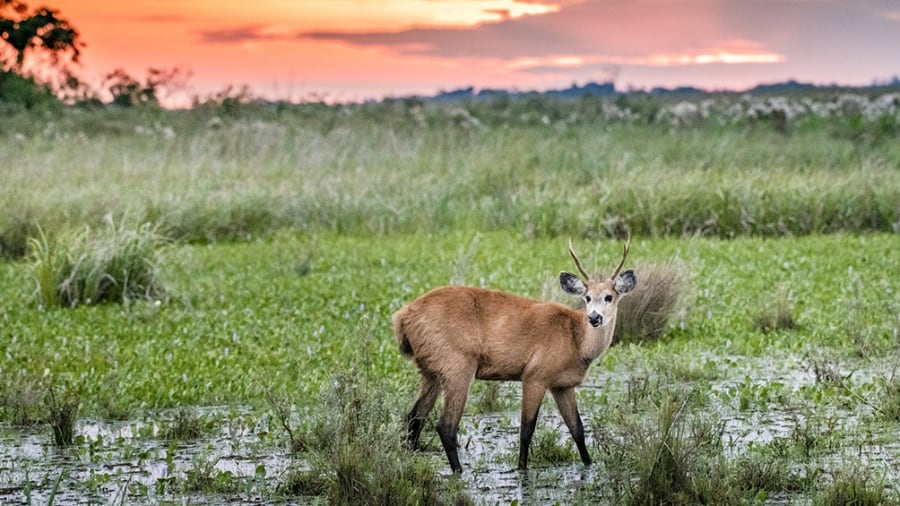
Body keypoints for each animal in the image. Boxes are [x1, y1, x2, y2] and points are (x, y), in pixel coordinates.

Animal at [390, 236, 636, 470]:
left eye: (609, 297)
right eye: (587, 297)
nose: (594, 317)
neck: (577, 341)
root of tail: (402, 317)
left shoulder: (562, 384)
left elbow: (577, 429)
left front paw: (589, 465)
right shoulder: (535, 374)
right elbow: (527, 429)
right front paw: (521, 469)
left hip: (430, 370)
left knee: (414, 417)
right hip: (457, 365)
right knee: (445, 425)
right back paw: (458, 471)